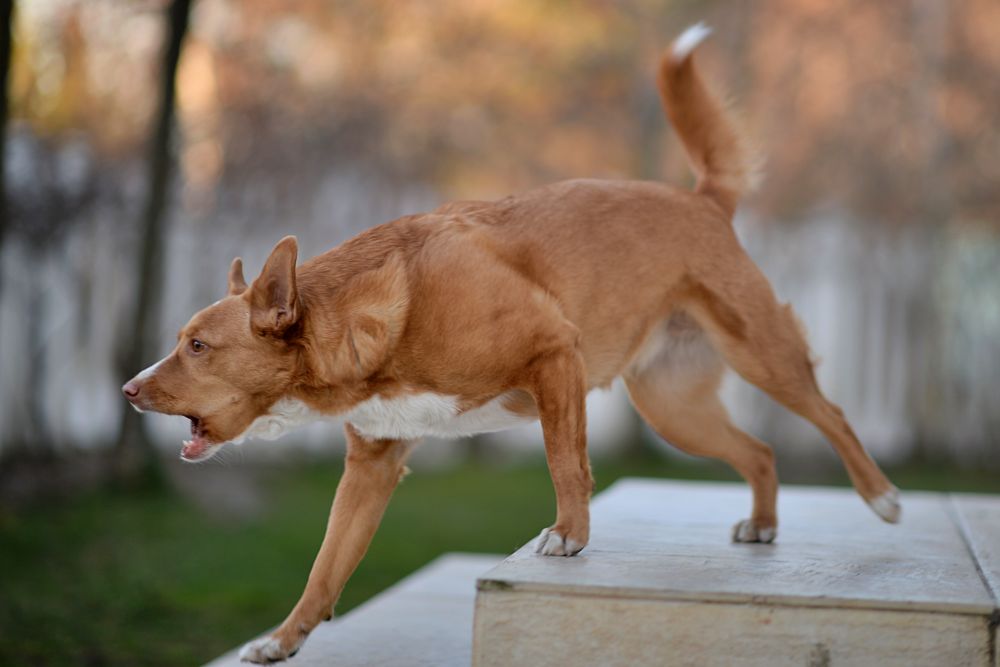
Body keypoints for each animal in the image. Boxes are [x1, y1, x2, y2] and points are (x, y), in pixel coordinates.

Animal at [123, 23, 900, 664]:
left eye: (197, 346)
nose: (127, 390)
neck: (376, 322)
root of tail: (701, 198)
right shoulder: (372, 466)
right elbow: (324, 569)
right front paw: (283, 640)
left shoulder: (554, 354)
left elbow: (566, 462)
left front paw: (569, 535)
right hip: (675, 410)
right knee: (760, 450)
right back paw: (765, 524)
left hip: (763, 356)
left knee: (831, 416)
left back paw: (883, 498)